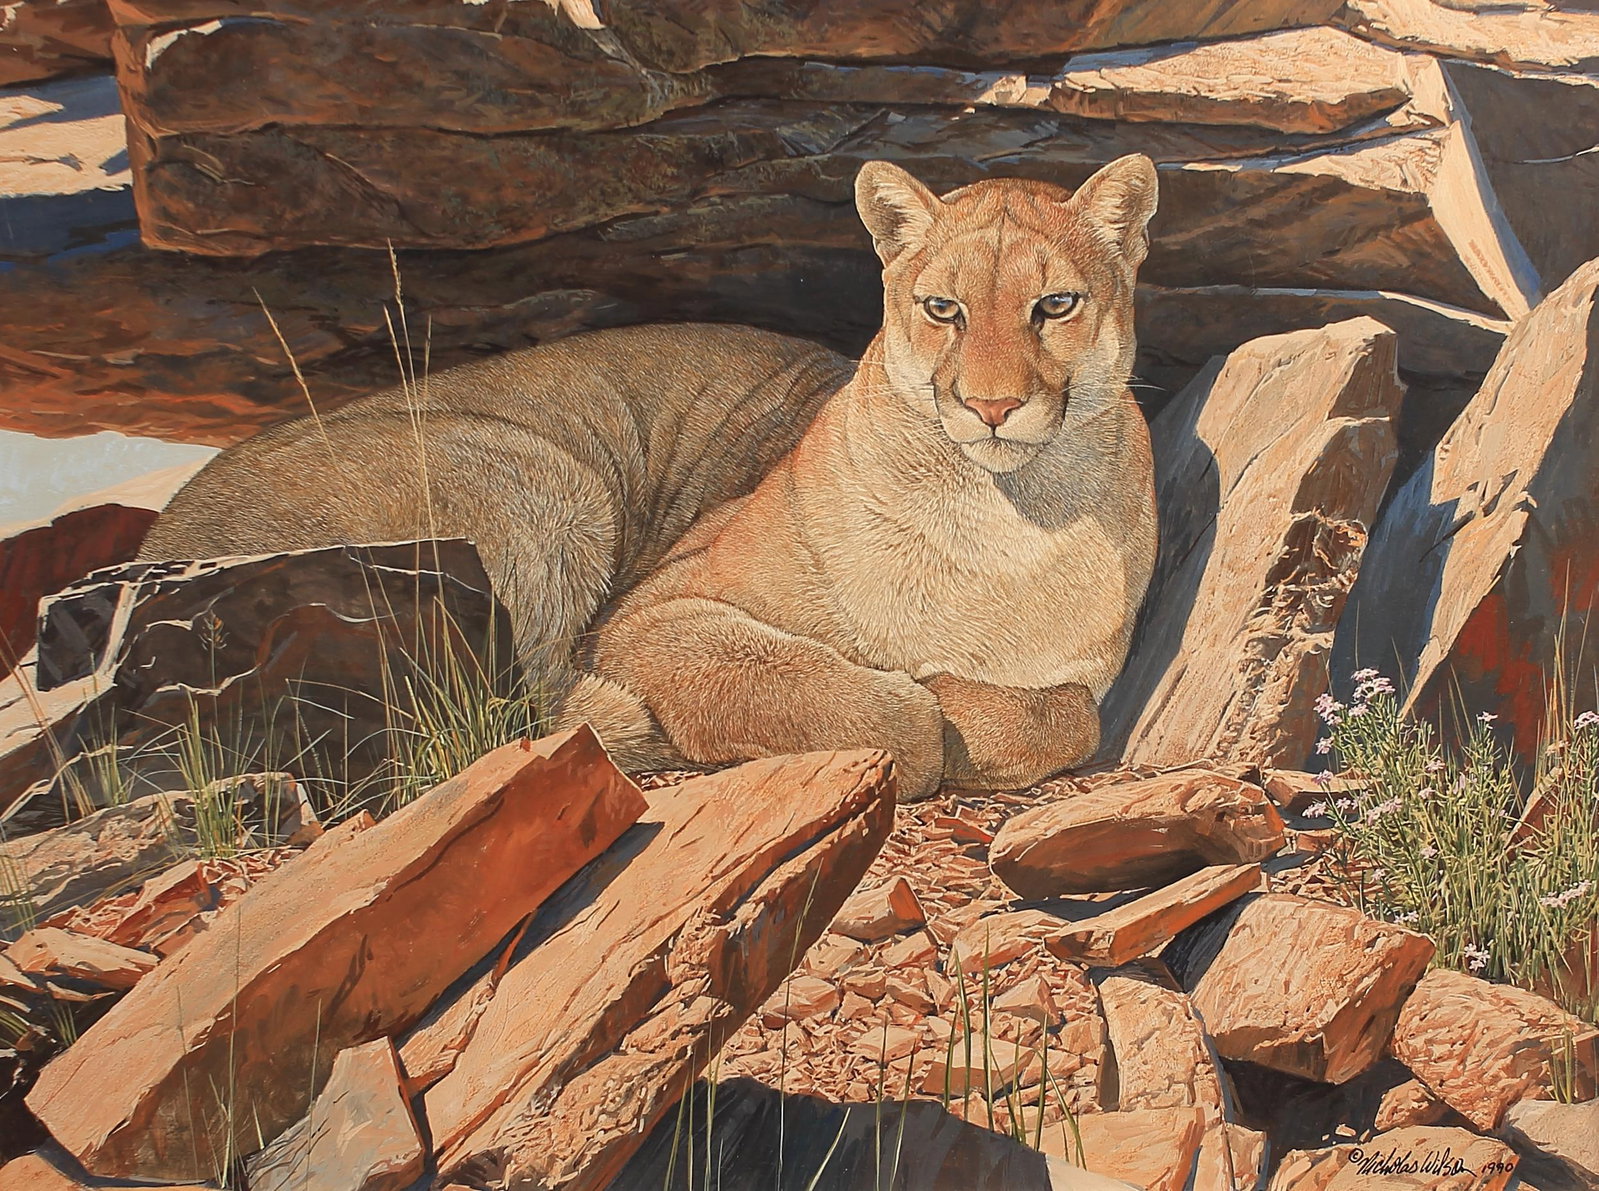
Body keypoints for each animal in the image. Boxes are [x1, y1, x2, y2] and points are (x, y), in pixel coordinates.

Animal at [139, 155, 1160, 801]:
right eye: (942, 308)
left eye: (1054, 304)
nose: (990, 405)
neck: (998, 524)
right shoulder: (651, 615)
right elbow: (859, 700)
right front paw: (928, 706)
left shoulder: (1077, 676)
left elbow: (1069, 714)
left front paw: (973, 713)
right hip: (545, 479)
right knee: (537, 708)